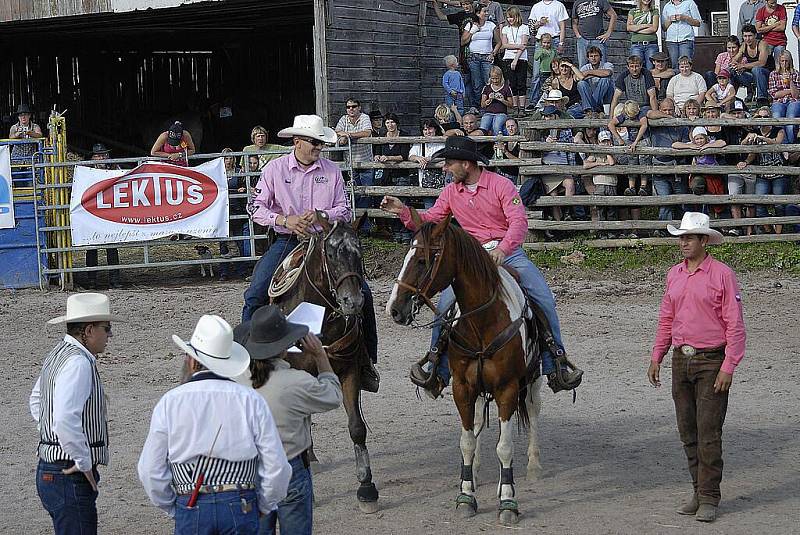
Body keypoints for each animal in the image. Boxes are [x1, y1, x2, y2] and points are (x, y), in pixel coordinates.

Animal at [270, 215, 380, 516]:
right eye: (330, 254)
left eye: (359, 251)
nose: (353, 302)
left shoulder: (349, 372)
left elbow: (357, 427)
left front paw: (366, 488)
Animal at [386, 211, 544, 524]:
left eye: (422, 260)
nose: (394, 309)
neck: (482, 321)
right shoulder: (462, 387)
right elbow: (467, 441)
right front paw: (466, 495)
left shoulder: (508, 388)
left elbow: (505, 446)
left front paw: (508, 502)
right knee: (479, 423)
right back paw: (479, 470)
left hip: (532, 380)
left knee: (532, 410)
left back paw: (532, 467)